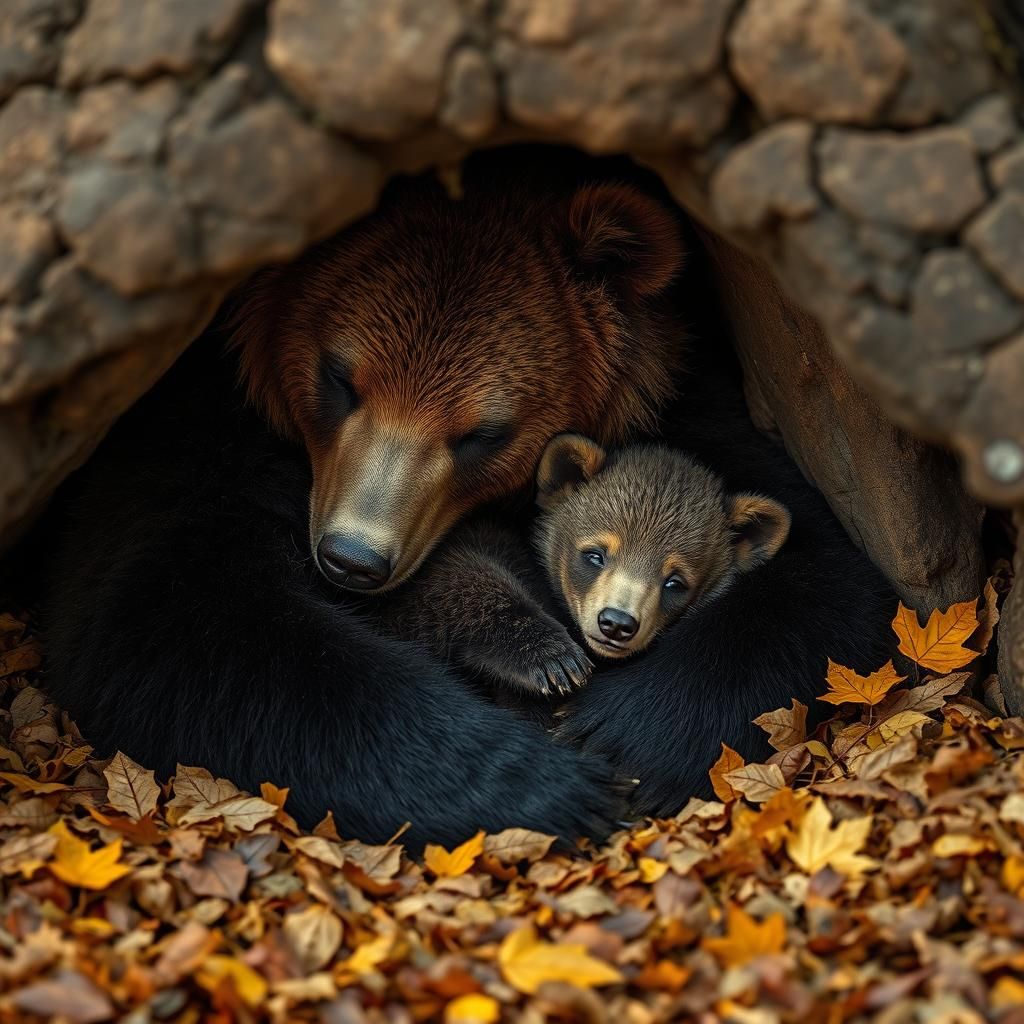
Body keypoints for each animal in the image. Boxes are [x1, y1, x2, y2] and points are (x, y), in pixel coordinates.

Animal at [40, 167, 687, 849]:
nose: (352, 557)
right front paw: (553, 780)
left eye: (484, 433)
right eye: (339, 377)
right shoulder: (187, 443)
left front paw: (621, 736)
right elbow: (182, 622)